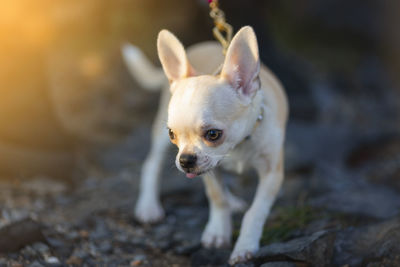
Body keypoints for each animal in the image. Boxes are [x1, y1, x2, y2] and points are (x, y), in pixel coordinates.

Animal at [122, 26, 288, 264]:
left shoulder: (272, 173)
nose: (185, 160)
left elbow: (256, 211)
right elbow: (217, 197)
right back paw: (148, 206)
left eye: (213, 134)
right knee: (151, 164)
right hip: (161, 138)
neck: (238, 146)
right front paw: (218, 232)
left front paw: (245, 245)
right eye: (172, 134)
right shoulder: (207, 170)